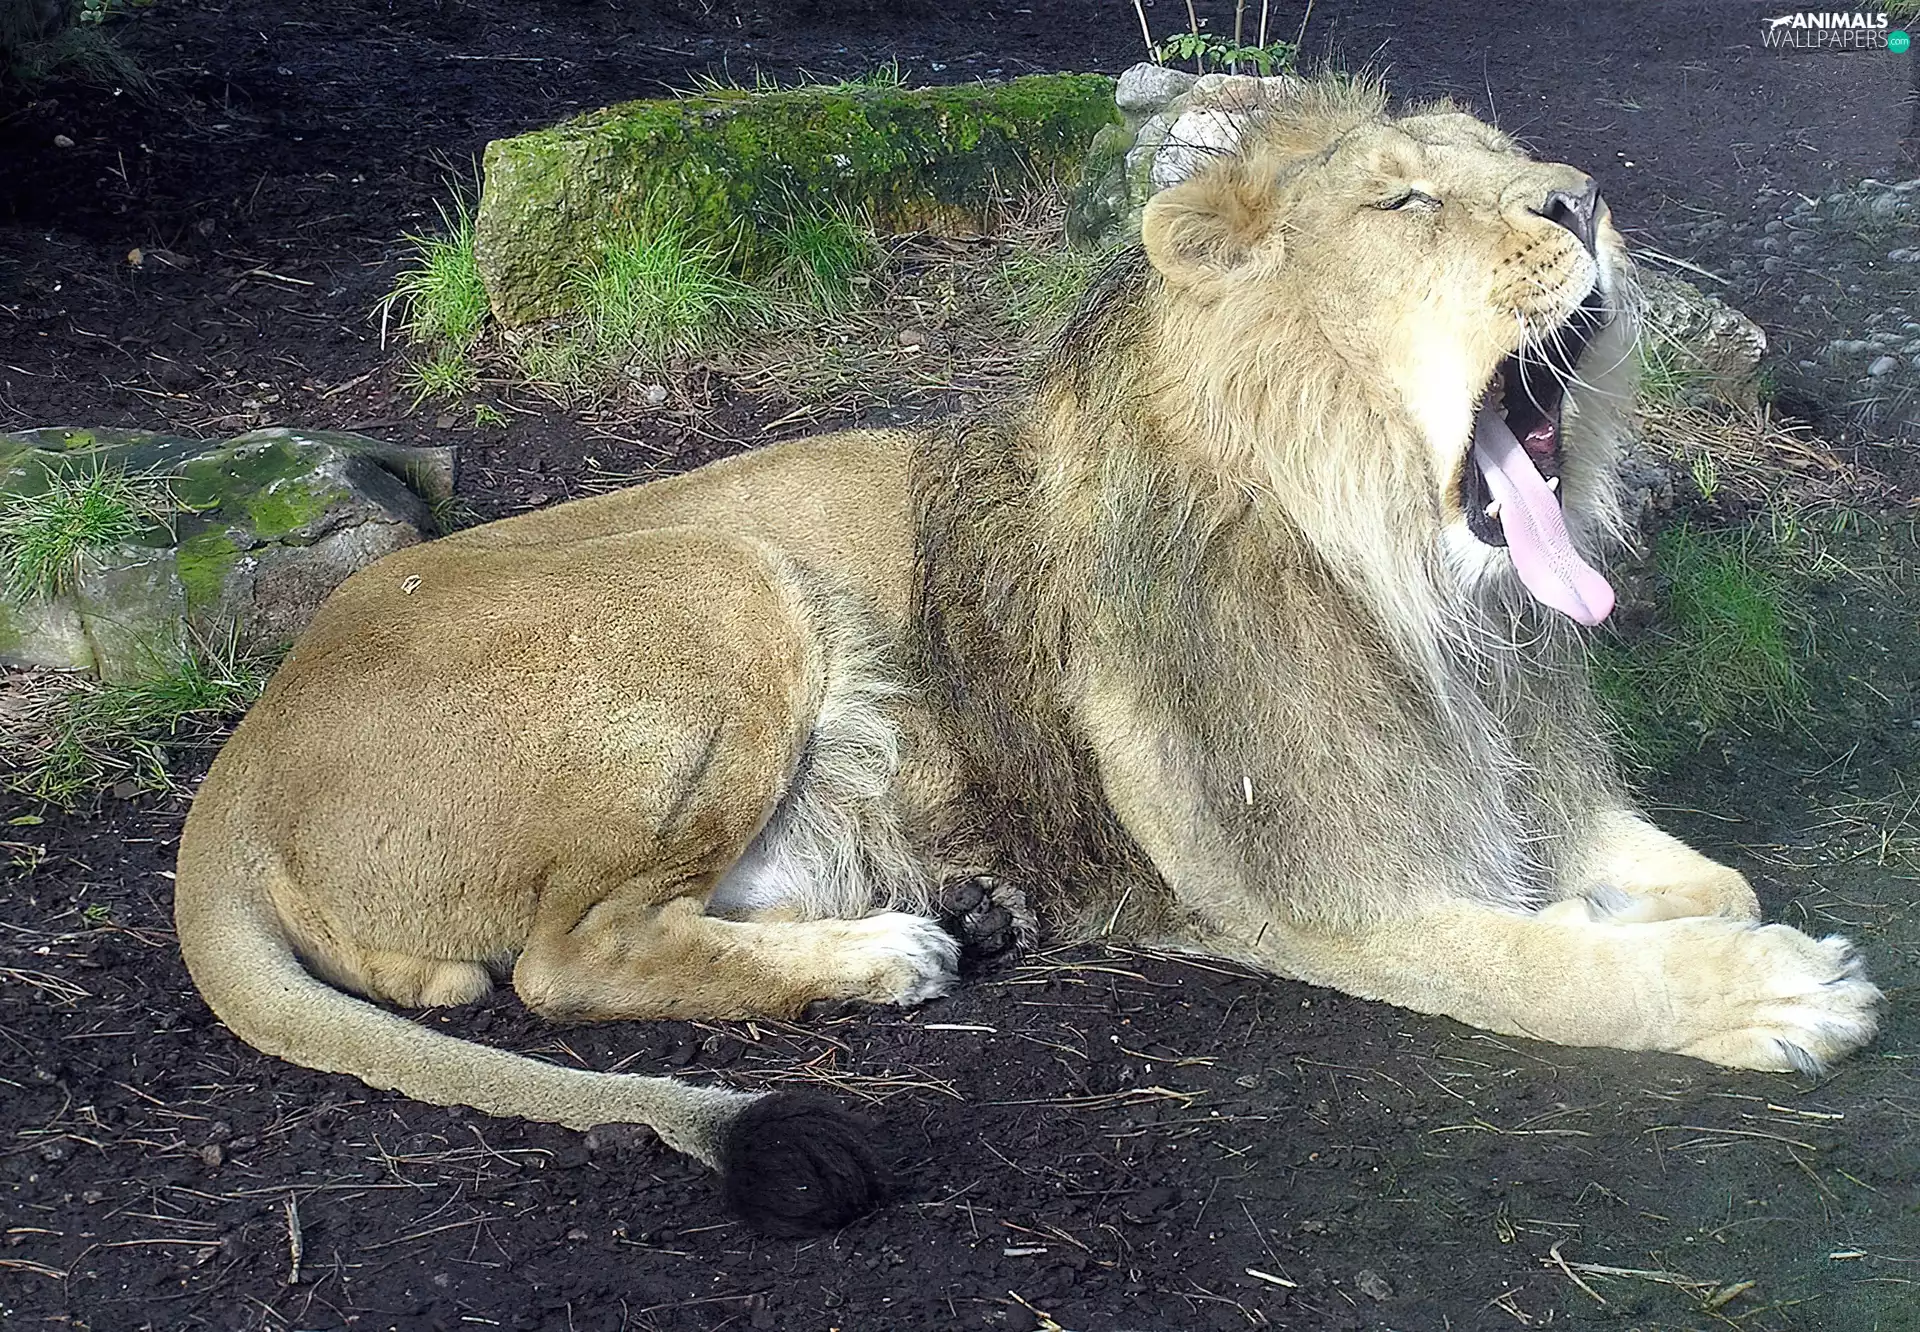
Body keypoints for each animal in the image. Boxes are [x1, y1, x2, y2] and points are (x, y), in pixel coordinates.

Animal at [173, 78, 1883, 1235]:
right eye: (1403, 204)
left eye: (1524, 167)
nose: (1586, 200)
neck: (1417, 604)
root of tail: (244, 759)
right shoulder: (1311, 890)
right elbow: (1541, 968)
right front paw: (1768, 991)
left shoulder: (1508, 781)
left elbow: (1697, 877)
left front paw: (1694, 921)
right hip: (723, 577)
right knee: (560, 960)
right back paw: (885, 954)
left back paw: (950, 911)